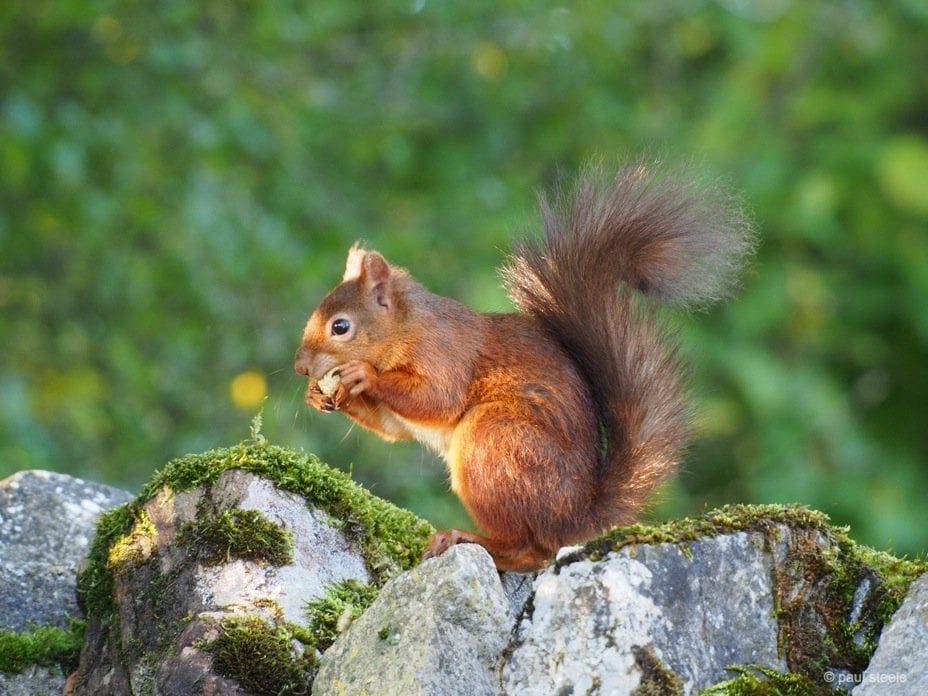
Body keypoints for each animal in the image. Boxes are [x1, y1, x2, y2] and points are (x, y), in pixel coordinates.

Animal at [298, 163, 752, 572]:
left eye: (341, 326)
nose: (301, 368)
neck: (406, 327)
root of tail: (575, 518)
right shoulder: (399, 411)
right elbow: (392, 428)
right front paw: (318, 396)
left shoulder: (444, 354)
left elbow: (436, 399)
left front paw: (363, 375)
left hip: (495, 443)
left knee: (529, 546)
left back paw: (466, 538)